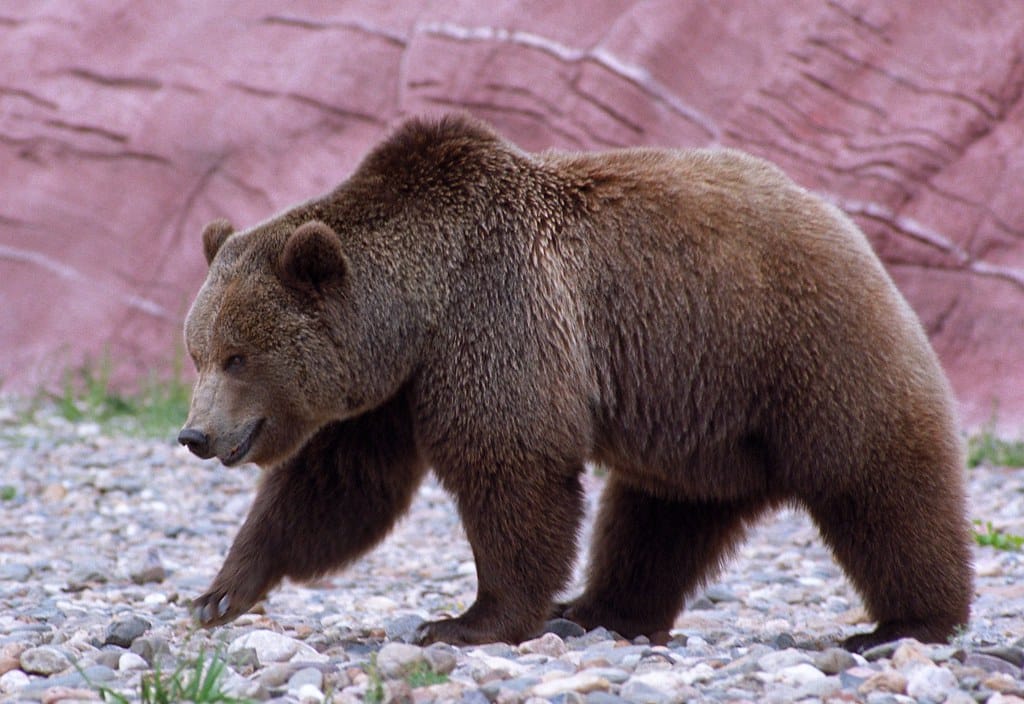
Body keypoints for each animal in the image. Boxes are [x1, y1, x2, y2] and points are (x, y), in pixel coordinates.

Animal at [179, 113, 972, 652]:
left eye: (238, 356)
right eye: (199, 351)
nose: (195, 434)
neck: (417, 311)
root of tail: (841, 220)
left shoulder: (496, 314)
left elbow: (512, 468)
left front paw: (465, 620)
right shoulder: (394, 388)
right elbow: (337, 486)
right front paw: (218, 593)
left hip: (798, 347)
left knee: (875, 479)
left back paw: (907, 622)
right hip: (702, 415)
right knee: (660, 519)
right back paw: (600, 609)